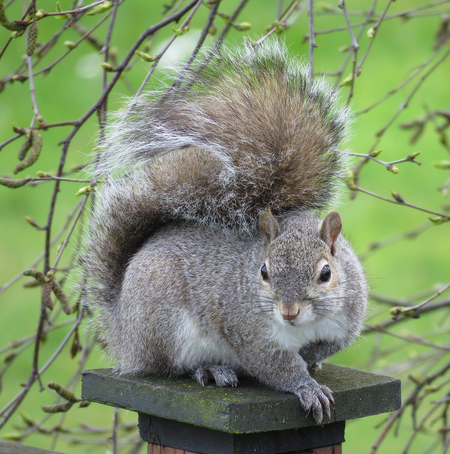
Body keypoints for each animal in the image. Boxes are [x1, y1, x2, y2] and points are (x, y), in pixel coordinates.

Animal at [82, 40, 368, 424]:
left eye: (326, 273)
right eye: (263, 271)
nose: (289, 311)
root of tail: (123, 327)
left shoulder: (347, 319)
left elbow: (326, 346)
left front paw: (313, 359)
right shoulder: (248, 330)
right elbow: (276, 365)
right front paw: (306, 387)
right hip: (164, 322)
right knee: (168, 367)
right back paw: (210, 370)